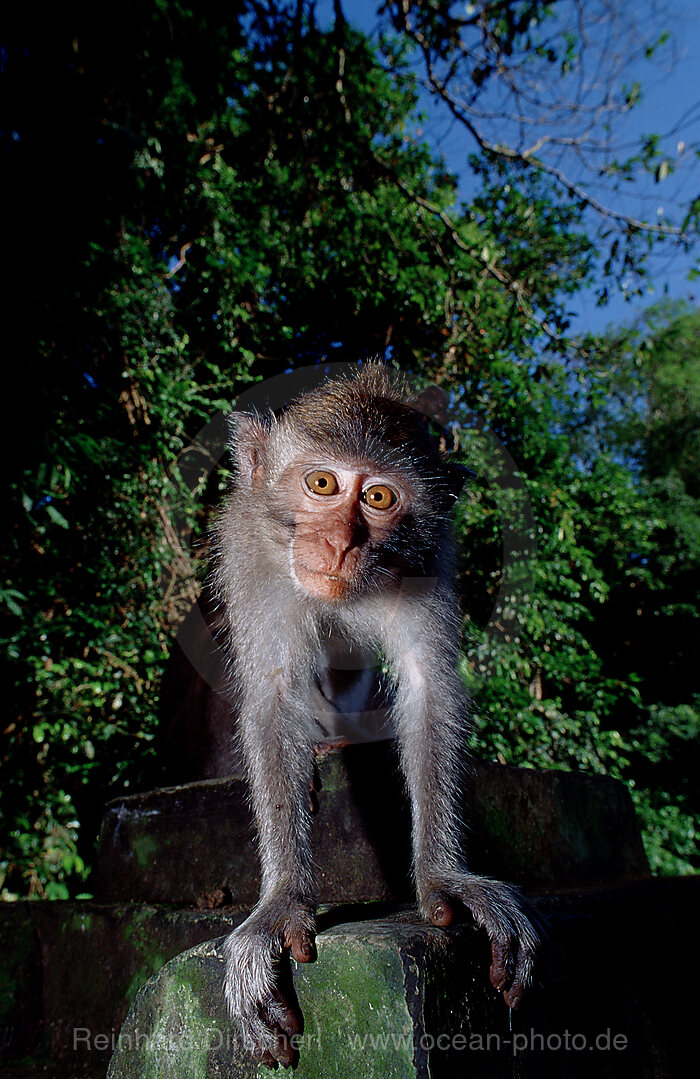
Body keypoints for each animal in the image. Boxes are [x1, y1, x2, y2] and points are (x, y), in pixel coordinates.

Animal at [214, 364, 541, 1070]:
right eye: (321, 484)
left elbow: (427, 686)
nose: (338, 545)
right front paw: (282, 901)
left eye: (380, 498)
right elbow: (274, 695)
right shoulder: (255, 562)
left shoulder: (427, 559)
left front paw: (443, 877)